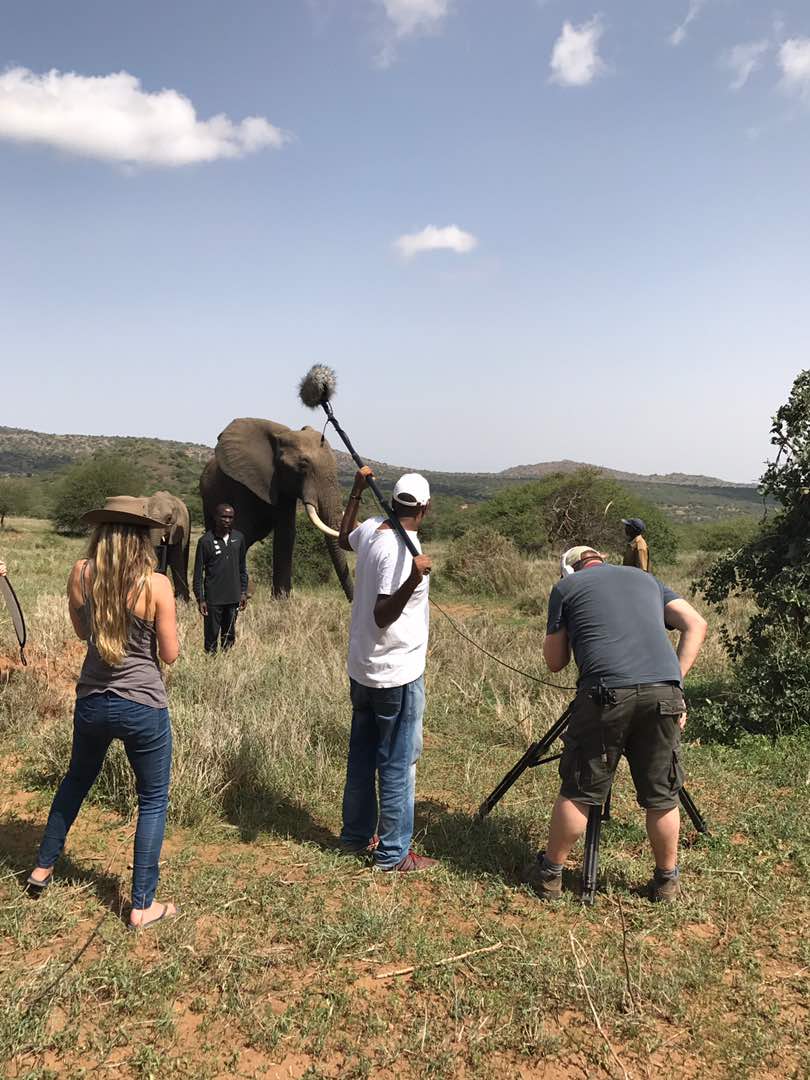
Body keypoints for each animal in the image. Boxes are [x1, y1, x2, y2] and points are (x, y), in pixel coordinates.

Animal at [199, 418, 353, 600]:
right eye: (303, 464)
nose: (351, 600)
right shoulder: (242, 484)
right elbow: (241, 530)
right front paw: (242, 594)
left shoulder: (284, 488)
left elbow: (286, 533)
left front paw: (281, 600)